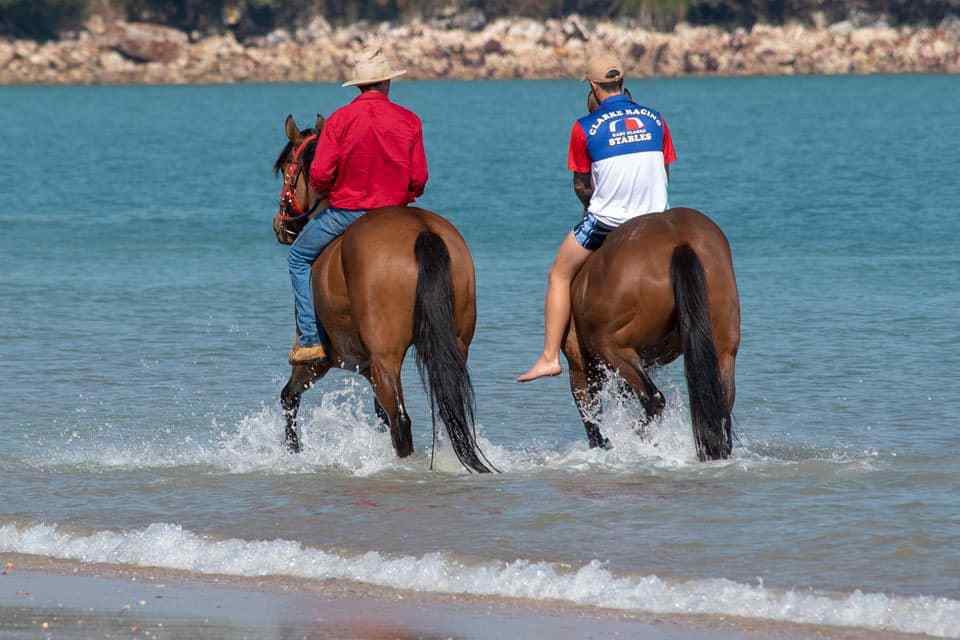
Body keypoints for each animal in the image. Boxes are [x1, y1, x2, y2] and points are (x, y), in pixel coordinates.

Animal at [270, 115, 496, 472]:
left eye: (285, 167)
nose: (282, 226)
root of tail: (422, 231)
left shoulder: (325, 361)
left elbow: (289, 396)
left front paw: (293, 452)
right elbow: (379, 415)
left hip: (385, 359)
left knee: (401, 422)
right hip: (455, 345)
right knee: (448, 410)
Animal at [564, 208, 744, 462]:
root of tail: (680, 242)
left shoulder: (581, 363)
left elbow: (590, 412)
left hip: (611, 348)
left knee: (653, 399)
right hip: (723, 350)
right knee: (722, 403)